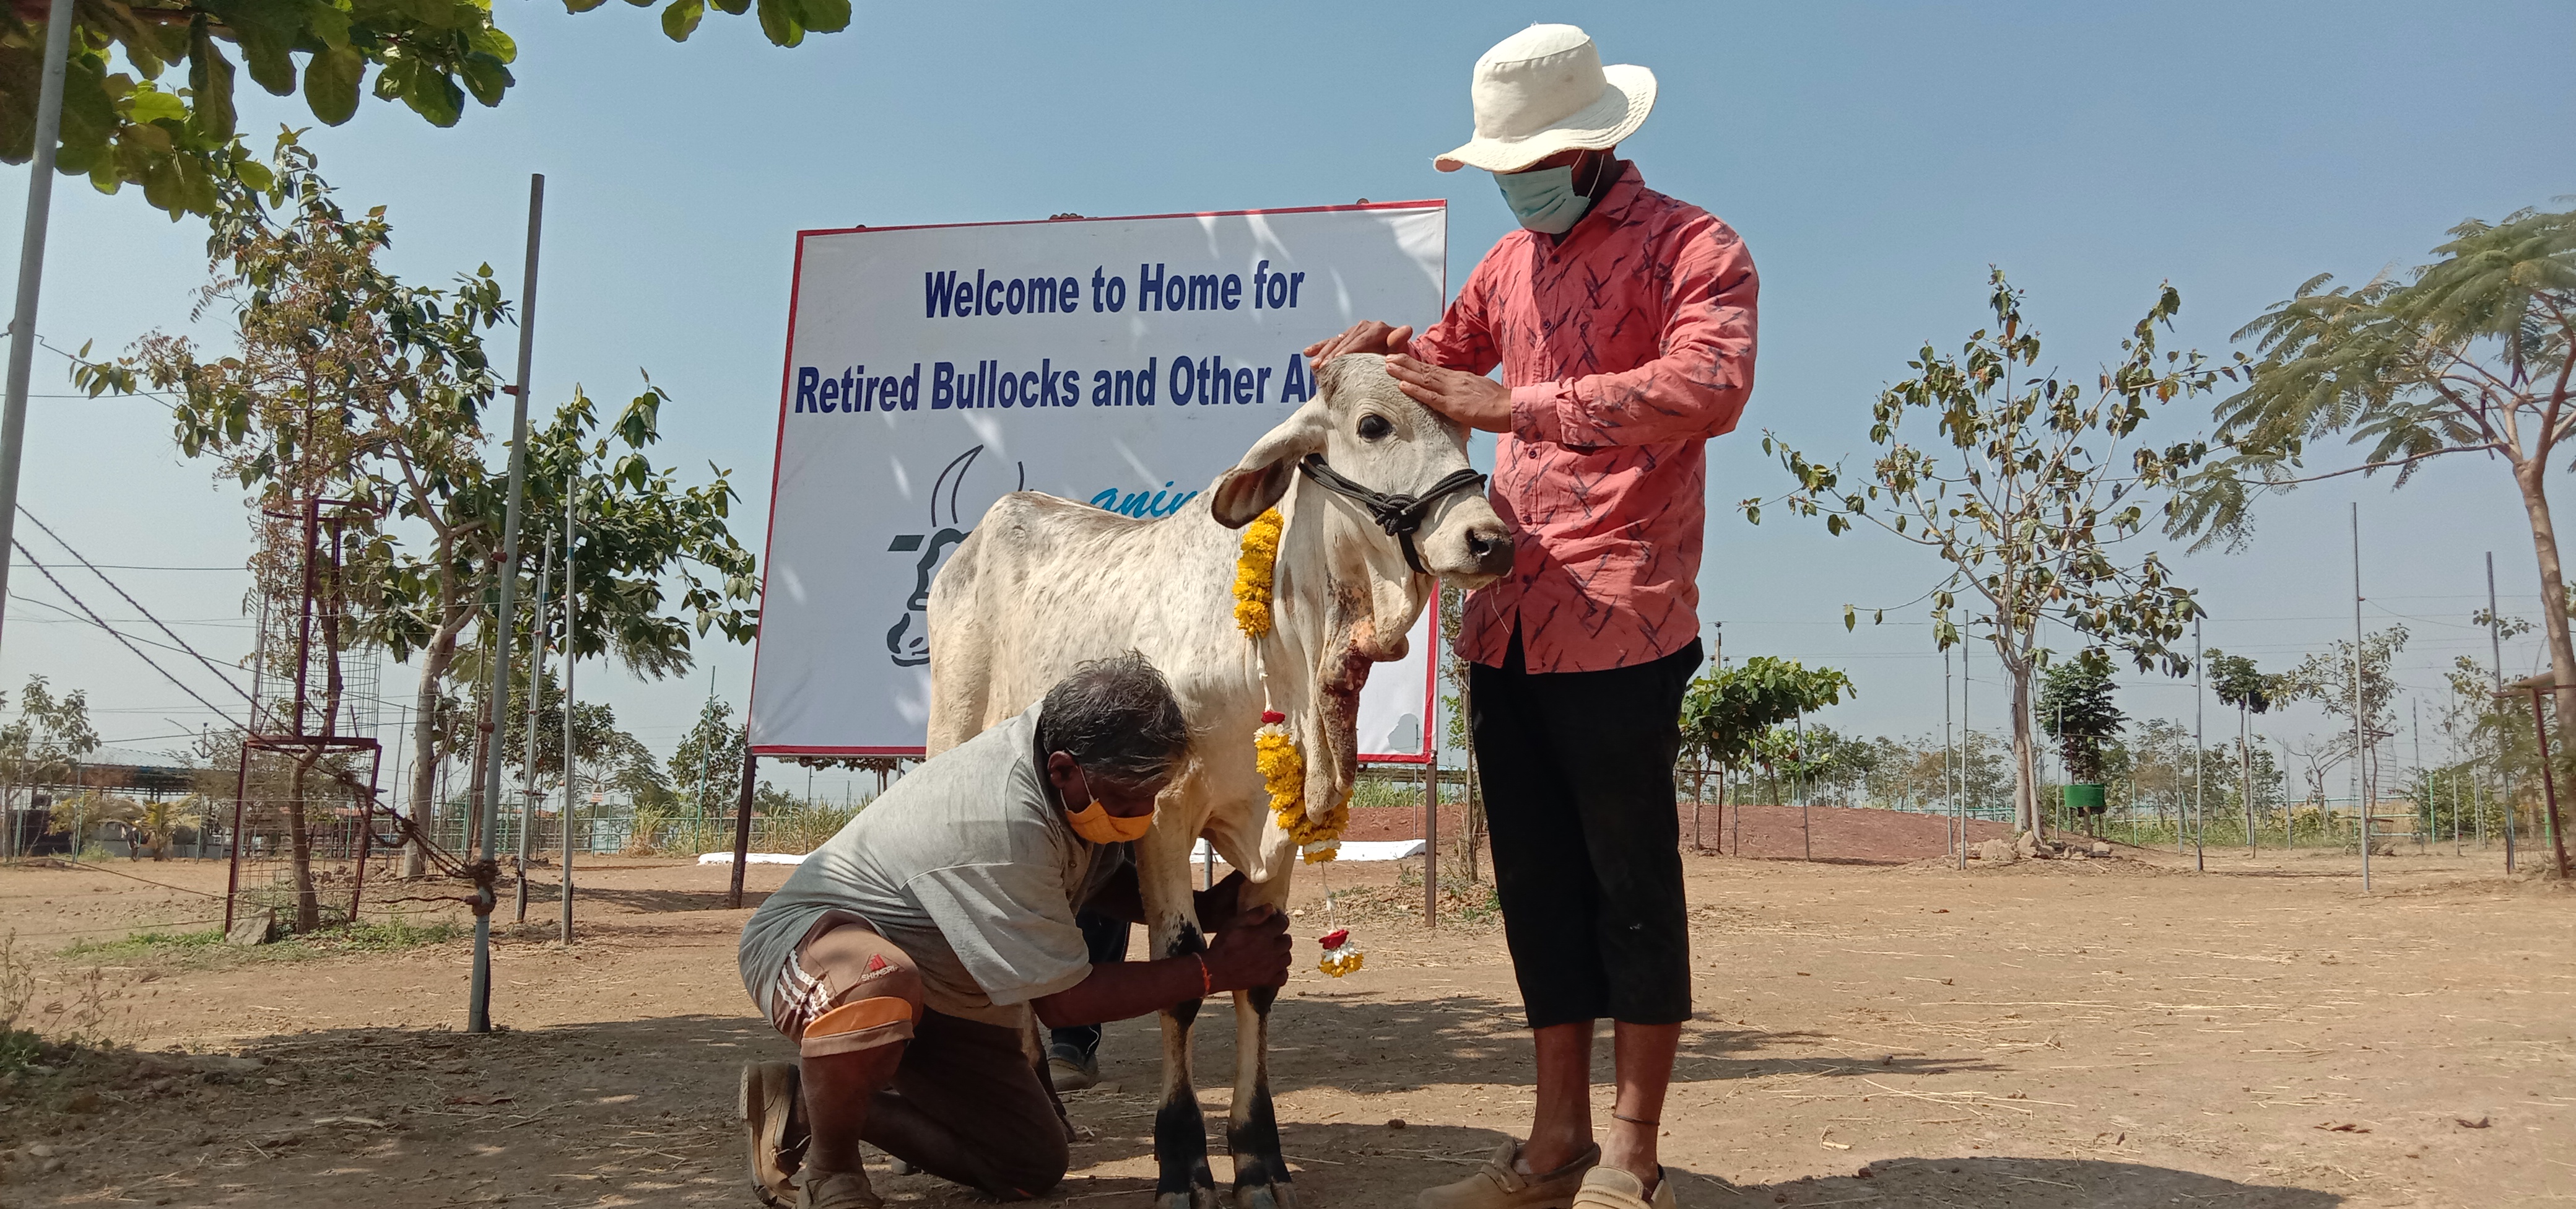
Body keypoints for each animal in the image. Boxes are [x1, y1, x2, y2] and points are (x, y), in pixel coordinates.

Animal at [927, 356, 1504, 1206]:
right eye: (1372, 424)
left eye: (1464, 427)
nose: (1490, 540)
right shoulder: (1163, 816)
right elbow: (1179, 974)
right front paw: (1182, 1160)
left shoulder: (1278, 826)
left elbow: (1255, 983)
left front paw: (1257, 1157)